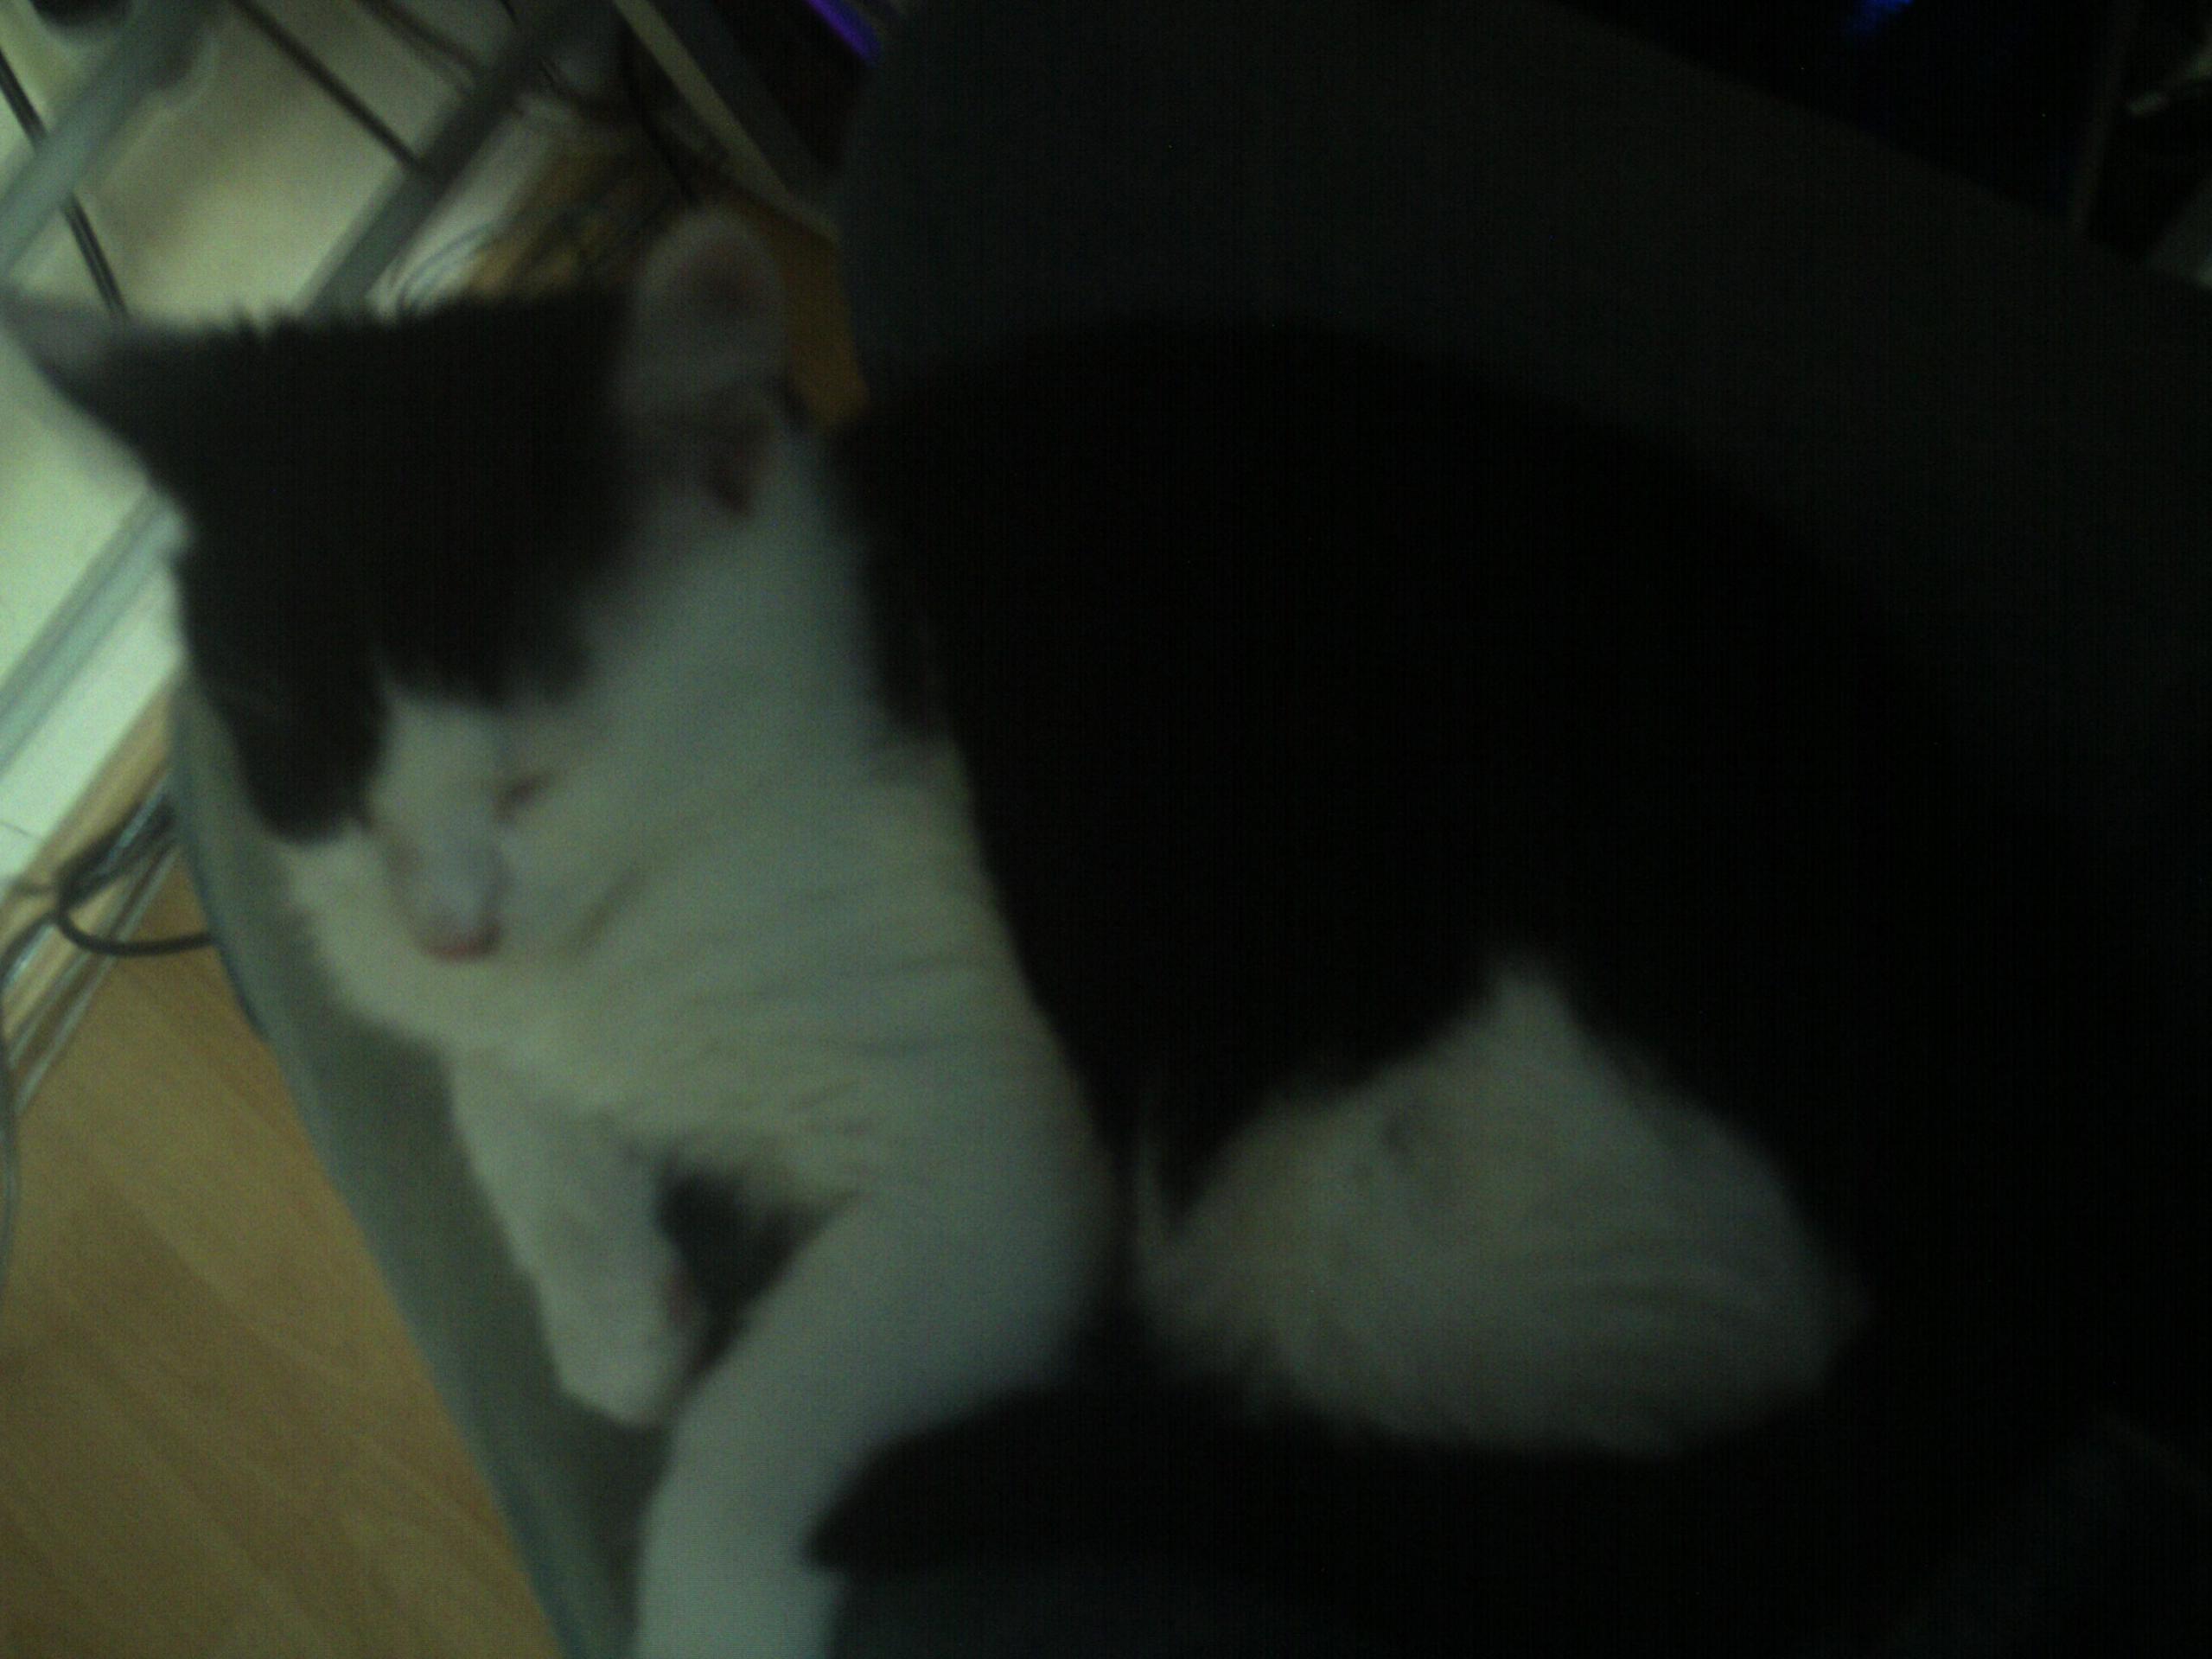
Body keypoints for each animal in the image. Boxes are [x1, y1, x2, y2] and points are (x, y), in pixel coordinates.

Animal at [6, 210, 2203, 1658]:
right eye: (298, 753)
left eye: (535, 770)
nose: (450, 922)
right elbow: (498, 1097)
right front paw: (613, 1311)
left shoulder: (990, 1152)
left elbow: (753, 1424)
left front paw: (710, 1570)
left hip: (1322, 1194)